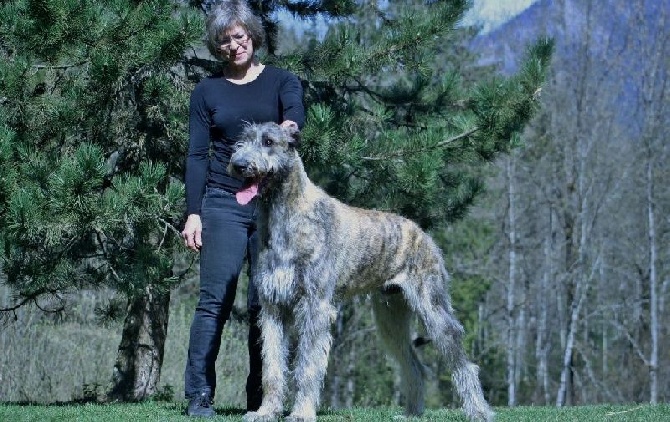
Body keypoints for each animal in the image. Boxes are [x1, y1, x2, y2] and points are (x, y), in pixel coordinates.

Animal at [228, 122, 496, 422]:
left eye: (268, 141)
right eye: (241, 141)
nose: (238, 165)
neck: (284, 214)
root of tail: (422, 233)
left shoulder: (314, 306)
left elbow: (307, 365)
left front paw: (301, 413)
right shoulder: (274, 306)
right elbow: (272, 365)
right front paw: (266, 411)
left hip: (432, 306)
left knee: (462, 361)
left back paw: (479, 410)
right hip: (390, 315)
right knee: (413, 364)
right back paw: (411, 413)